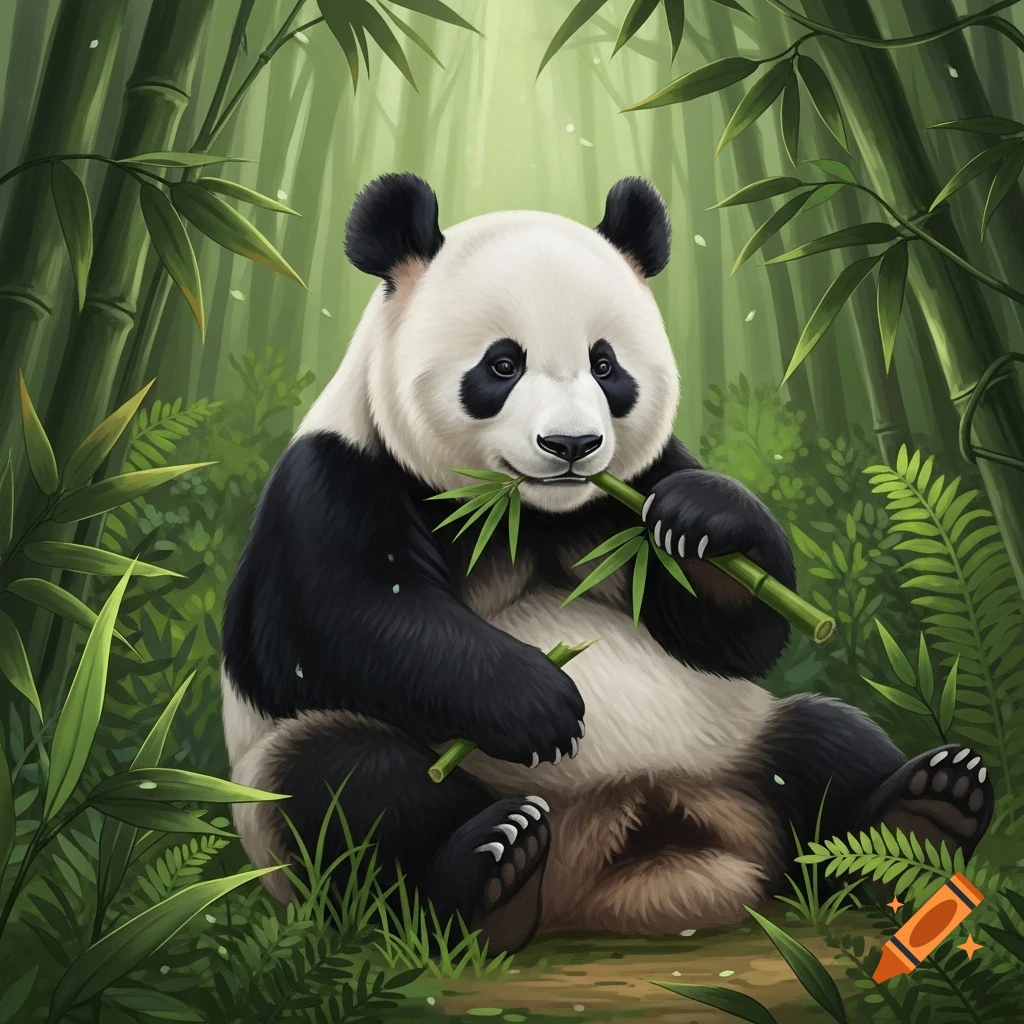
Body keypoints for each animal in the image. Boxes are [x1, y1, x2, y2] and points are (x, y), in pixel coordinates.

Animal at [221, 173, 994, 953]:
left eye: (605, 364)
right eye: (502, 364)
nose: (572, 445)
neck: (528, 511)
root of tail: (626, 850)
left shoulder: (631, 493)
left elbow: (729, 635)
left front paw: (704, 518)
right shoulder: (337, 478)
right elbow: (337, 622)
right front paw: (539, 703)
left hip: (737, 738)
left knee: (825, 743)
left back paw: (924, 813)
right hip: (292, 784)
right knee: (351, 786)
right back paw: (492, 874)